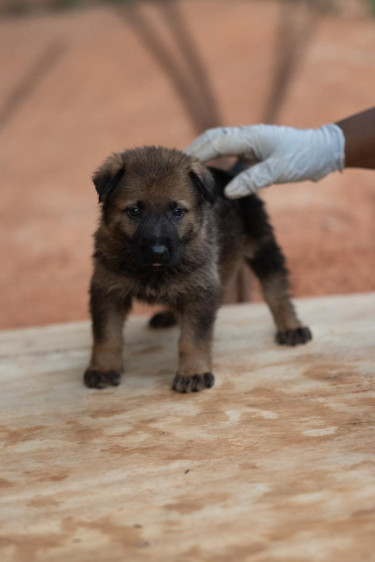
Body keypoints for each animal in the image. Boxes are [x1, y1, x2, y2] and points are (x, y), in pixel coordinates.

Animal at [84, 149, 312, 392]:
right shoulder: (108, 290)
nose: (157, 252)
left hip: (262, 246)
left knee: (275, 289)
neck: (152, 270)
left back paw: (291, 326)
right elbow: (107, 336)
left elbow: (192, 338)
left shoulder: (198, 292)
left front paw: (193, 372)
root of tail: (230, 174)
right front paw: (103, 368)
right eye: (134, 211)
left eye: (177, 211)